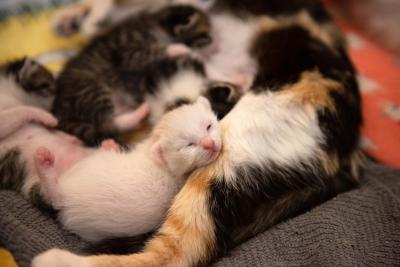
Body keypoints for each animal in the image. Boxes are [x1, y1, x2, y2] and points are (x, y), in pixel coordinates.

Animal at [53, 3, 216, 147]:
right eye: (197, 36)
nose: (209, 39)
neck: (154, 22)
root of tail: (59, 109)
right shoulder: (127, 51)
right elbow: (152, 50)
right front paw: (179, 49)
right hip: (91, 89)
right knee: (107, 125)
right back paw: (136, 116)